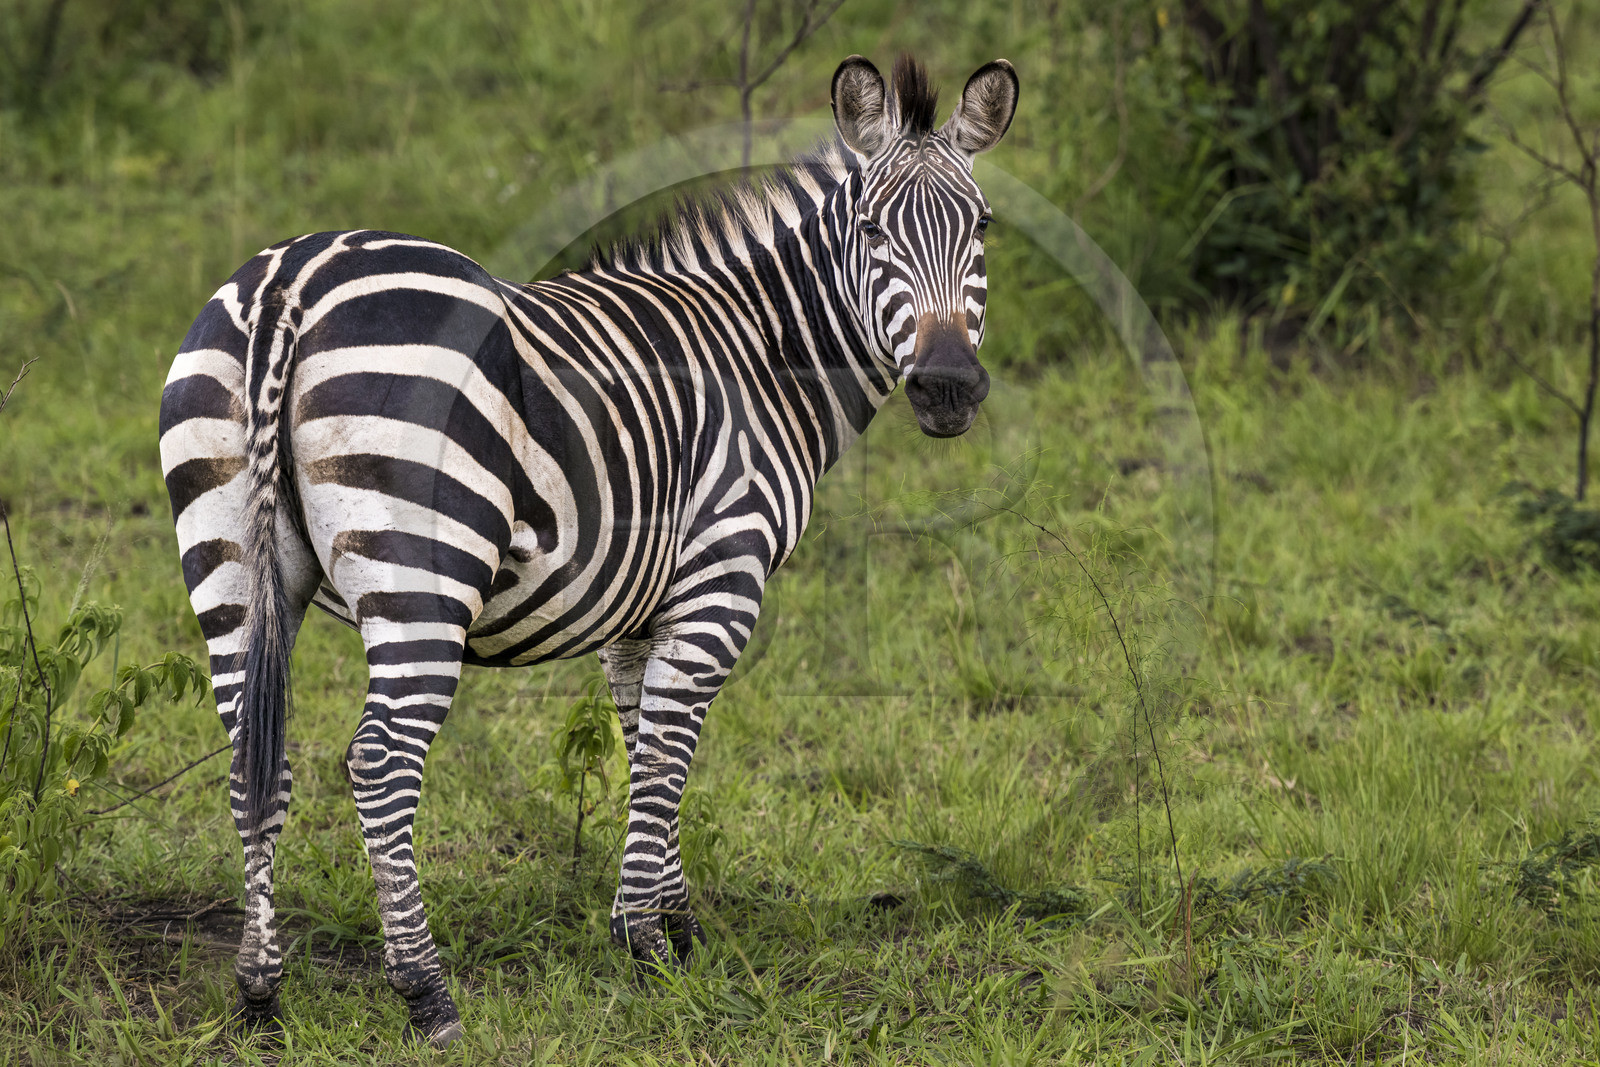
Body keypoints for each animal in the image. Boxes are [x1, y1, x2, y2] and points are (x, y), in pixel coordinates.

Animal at [159, 53, 1017, 1045]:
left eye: (981, 227)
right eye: (873, 230)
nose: (948, 386)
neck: (762, 356)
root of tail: (288, 287)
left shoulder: (638, 603)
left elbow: (644, 740)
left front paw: (669, 924)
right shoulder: (720, 579)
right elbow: (670, 747)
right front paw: (647, 944)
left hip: (227, 557)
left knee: (255, 758)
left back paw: (260, 991)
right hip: (421, 573)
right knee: (379, 763)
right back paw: (426, 992)